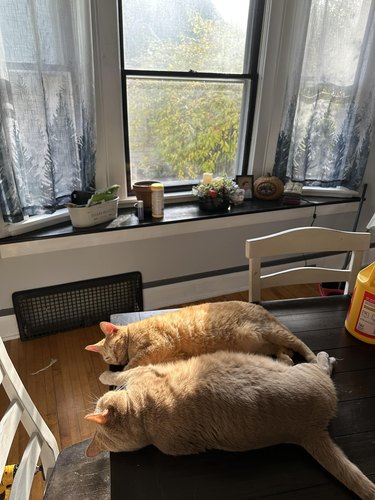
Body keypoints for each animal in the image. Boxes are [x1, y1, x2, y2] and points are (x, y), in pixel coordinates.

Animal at [85, 300, 318, 368]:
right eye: (107, 357)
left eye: (112, 349)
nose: (114, 361)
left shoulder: (156, 345)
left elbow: (134, 363)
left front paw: (123, 372)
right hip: (262, 344)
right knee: (282, 349)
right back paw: (284, 358)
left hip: (273, 331)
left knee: (298, 342)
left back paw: (313, 359)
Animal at [85, 352, 375, 500]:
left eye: (99, 402)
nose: (97, 400)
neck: (144, 419)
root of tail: (308, 430)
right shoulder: (140, 372)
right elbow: (117, 375)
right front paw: (105, 374)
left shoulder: (141, 372)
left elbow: (117, 375)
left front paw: (105, 375)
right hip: (309, 371)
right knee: (321, 364)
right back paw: (318, 358)